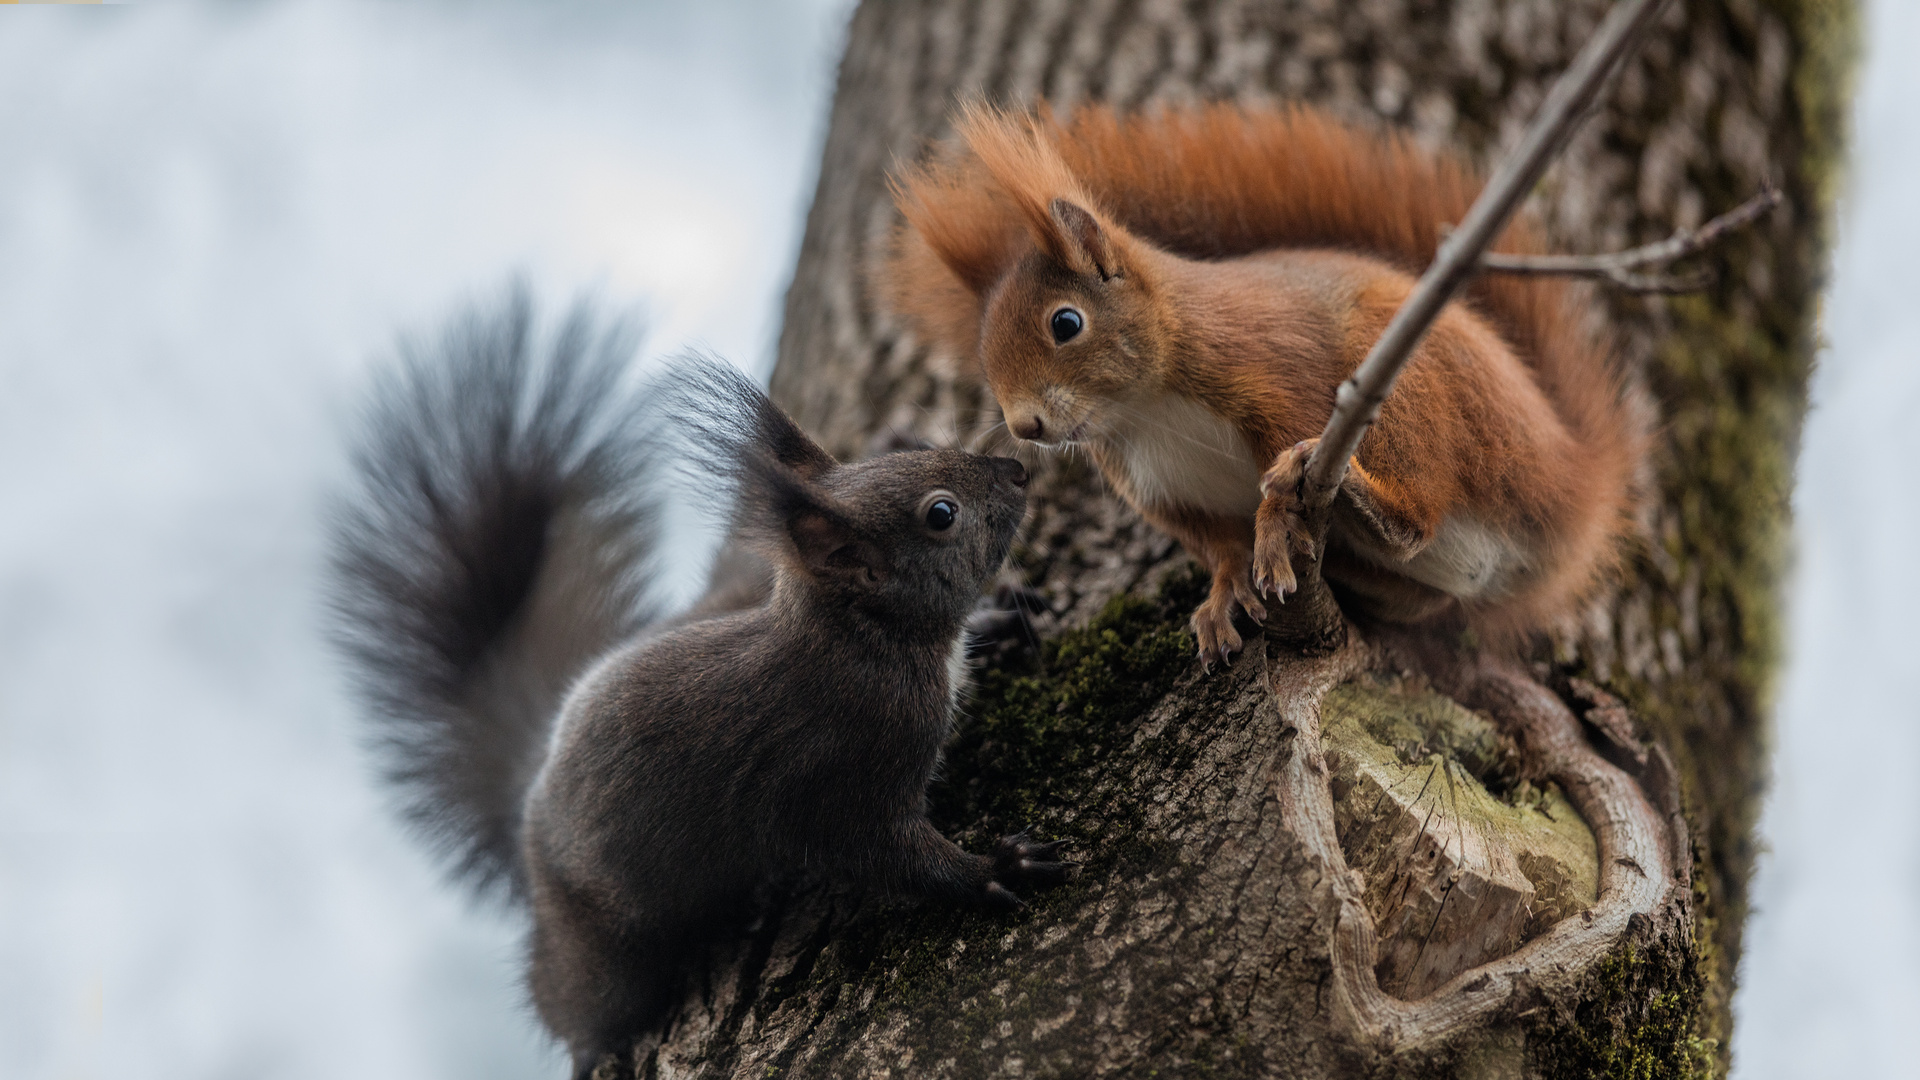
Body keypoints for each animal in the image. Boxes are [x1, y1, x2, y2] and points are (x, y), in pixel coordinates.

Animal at [890, 102, 1643, 657]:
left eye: (1066, 323)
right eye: (984, 351)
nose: (1026, 425)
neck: (1147, 408)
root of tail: (1571, 484)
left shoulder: (1276, 372)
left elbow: (1280, 455)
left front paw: (1277, 525)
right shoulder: (1161, 489)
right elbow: (1216, 547)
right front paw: (1225, 593)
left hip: (1418, 394)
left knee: (1416, 521)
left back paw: (1363, 507)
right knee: (1430, 592)